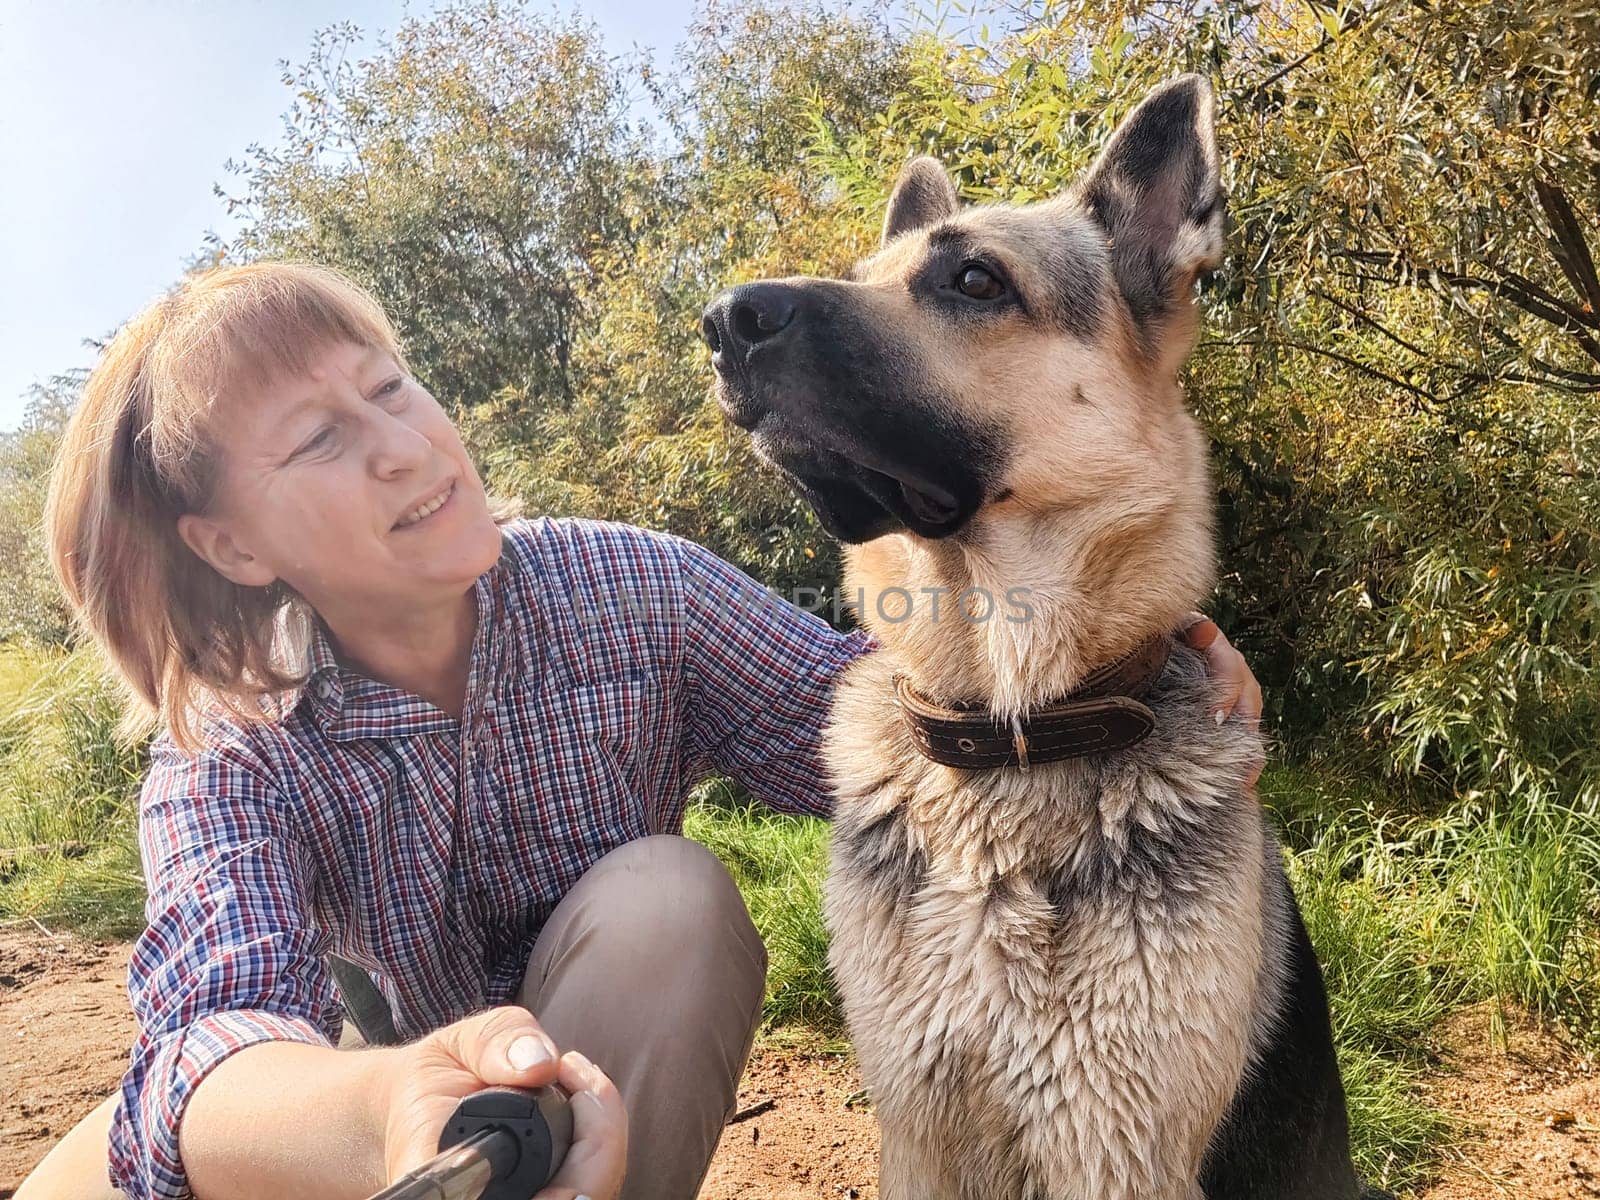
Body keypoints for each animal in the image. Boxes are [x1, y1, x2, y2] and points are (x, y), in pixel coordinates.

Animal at [700, 77, 1388, 1200]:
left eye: (974, 279)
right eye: (864, 276)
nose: (720, 319)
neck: (1012, 731)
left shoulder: (1112, 1148)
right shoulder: (921, 1135)